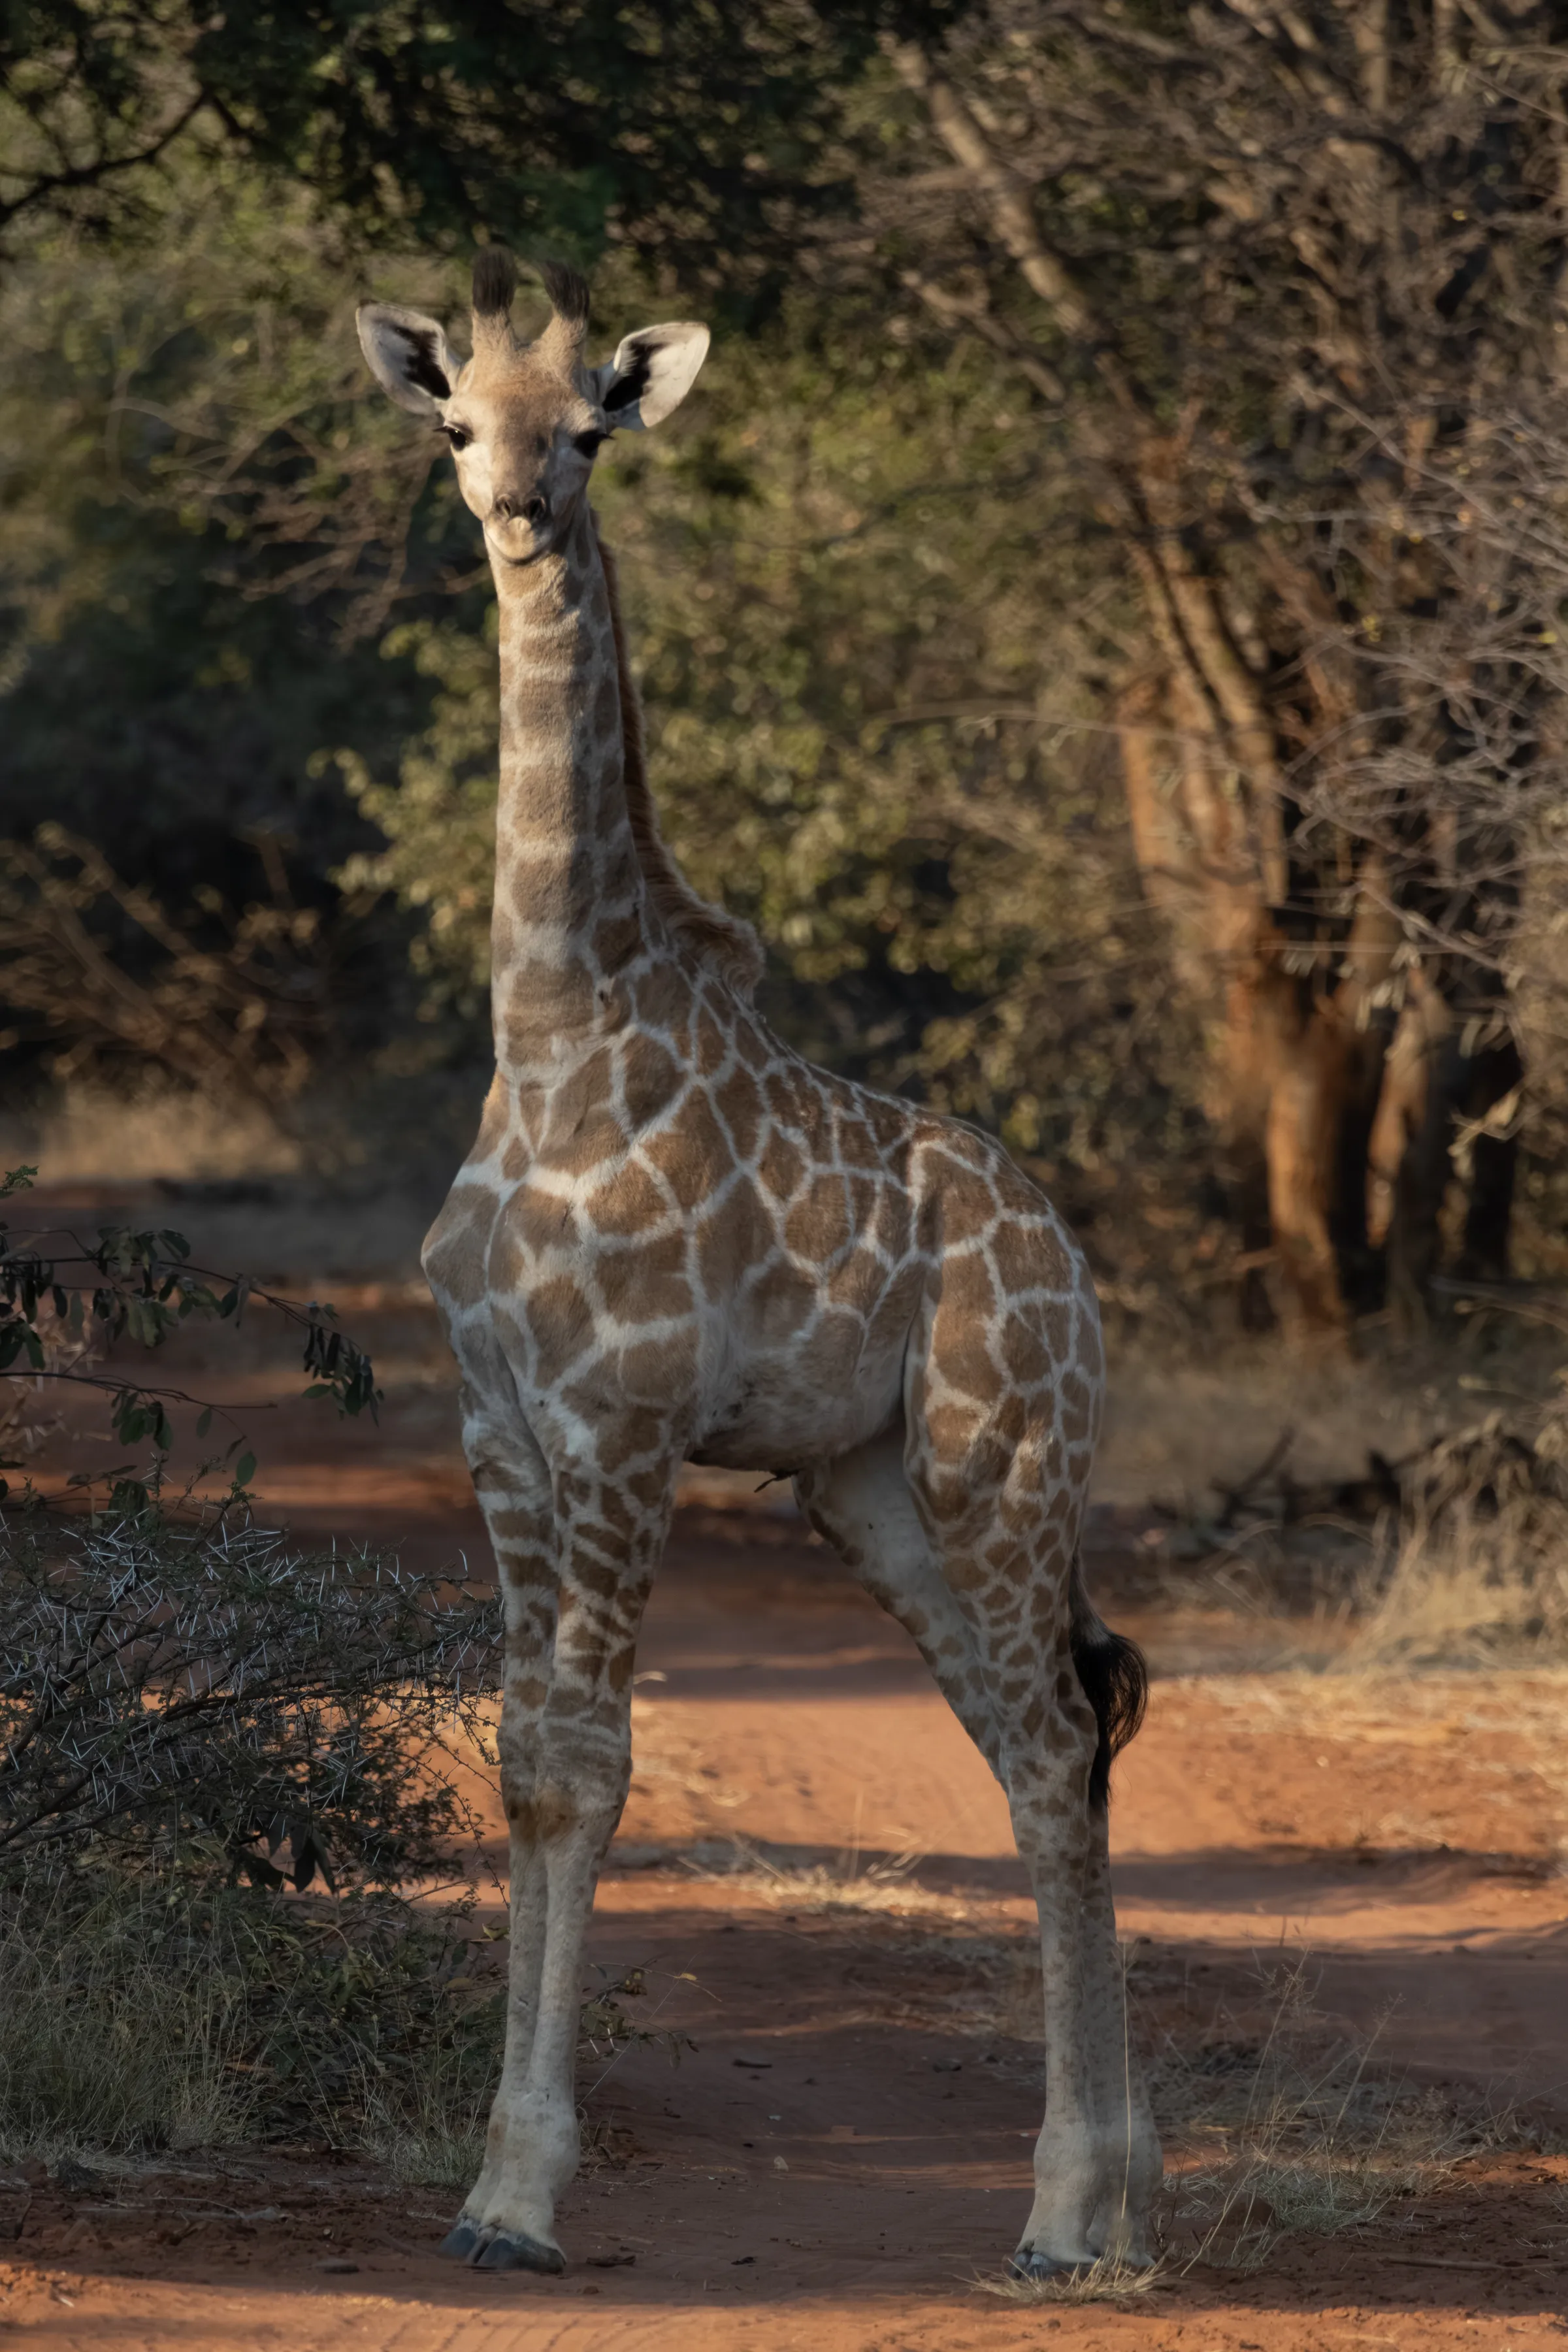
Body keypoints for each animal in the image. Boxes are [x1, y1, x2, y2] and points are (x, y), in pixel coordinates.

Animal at [356, 248, 1160, 2281]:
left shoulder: (624, 1428)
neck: (552, 1030)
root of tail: (1072, 1263)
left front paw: (525, 2196)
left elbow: (591, 1765)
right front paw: (483, 2186)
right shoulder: (498, 1430)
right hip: (864, 1489)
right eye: (455, 421)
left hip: (999, 1457)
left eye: (586, 429)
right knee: (1040, 1742)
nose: (512, 508)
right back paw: (1121, 2201)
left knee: (1055, 1741)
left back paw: (1062, 2218)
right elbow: (522, 1757)